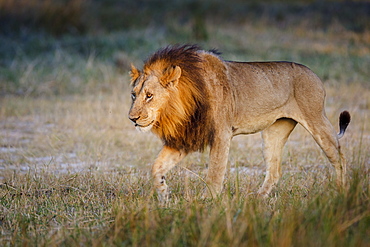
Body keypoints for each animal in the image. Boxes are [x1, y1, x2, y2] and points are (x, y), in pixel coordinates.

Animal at [129, 44, 352, 199]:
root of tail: (313, 73)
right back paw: (257, 199)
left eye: (149, 95)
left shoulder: (222, 133)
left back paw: (341, 192)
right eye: (133, 94)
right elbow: (156, 167)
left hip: (316, 119)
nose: (132, 118)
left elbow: (215, 171)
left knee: (340, 157)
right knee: (274, 170)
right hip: (274, 131)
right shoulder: (185, 137)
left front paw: (206, 201)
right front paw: (164, 195)